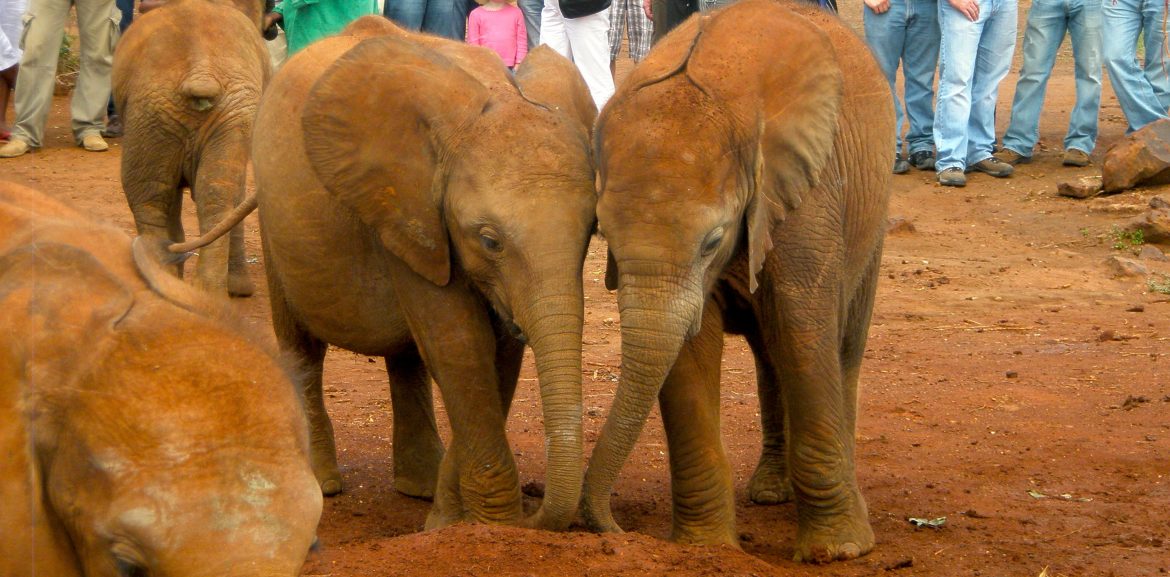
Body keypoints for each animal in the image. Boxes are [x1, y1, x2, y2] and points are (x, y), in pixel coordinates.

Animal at [250, 17, 598, 531]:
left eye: (592, 230)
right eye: (489, 240)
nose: (539, 509)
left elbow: (497, 353)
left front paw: (449, 521)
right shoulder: (408, 208)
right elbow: (461, 344)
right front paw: (490, 526)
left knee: (407, 357)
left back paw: (419, 486)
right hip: (272, 220)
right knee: (302, 345)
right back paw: (324, 485)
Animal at [580, 0, 894, 563]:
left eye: (713, 241)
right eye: (603, 235)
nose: (614, 529)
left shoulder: (806, 195)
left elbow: (803, 330)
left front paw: (838, 550)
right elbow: (688, 351)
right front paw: (704, 548)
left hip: (871, 210)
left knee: (841, 345)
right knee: (771, 355)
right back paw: (771, 493)